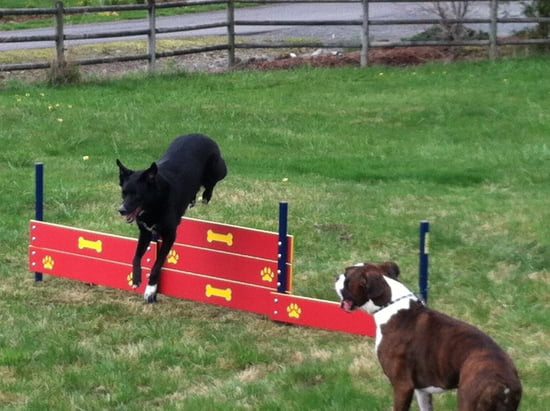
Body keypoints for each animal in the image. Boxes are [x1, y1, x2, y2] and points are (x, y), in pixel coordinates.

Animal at [117, 134, 227, 302]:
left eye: (136, 195)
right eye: (124, 193)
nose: (121, 210)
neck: (155, 201)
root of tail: (201, 134)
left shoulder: (170, 235)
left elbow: (157, 264)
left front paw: (150, 290)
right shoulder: (145, 232)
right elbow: (135, 257)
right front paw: (136, 279)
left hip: (217, 169)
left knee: (212, 182)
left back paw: (205, 196)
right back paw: (192, 200)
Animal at [334, 262, 524, 411]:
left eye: (347, 278)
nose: (336, 276)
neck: (390, 305)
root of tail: (503, 383)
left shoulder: (402, 386)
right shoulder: (421, 390)